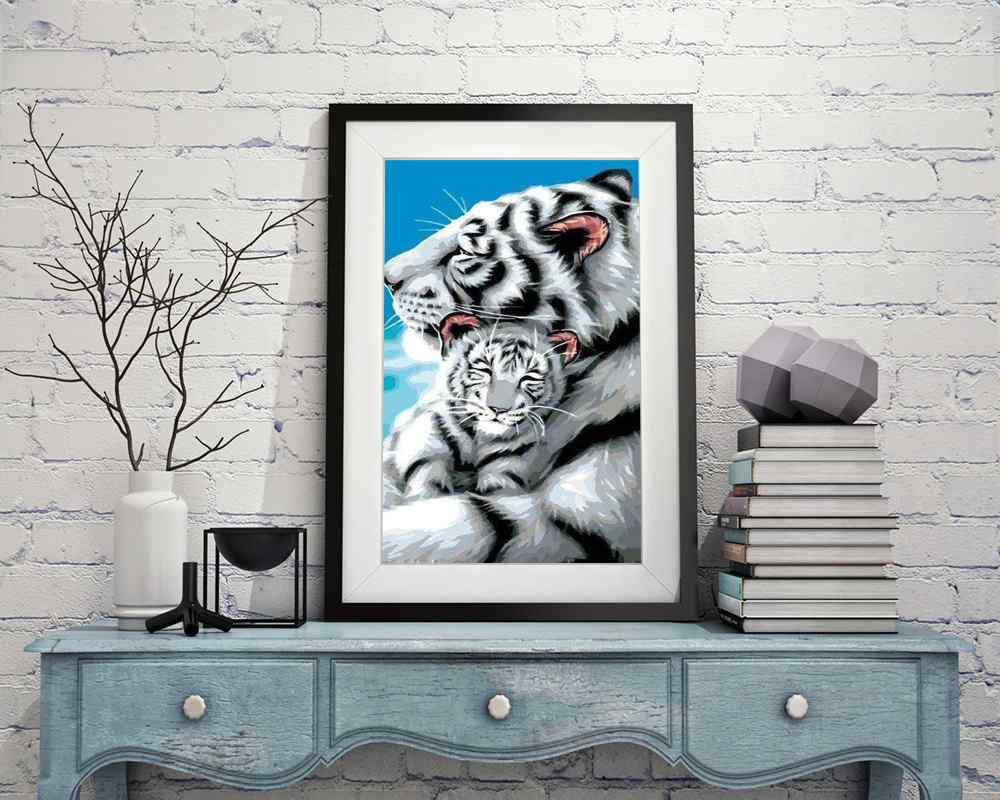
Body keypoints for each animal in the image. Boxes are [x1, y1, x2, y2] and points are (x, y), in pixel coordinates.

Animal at [384, 312, 581, 510]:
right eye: (485, 369)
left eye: (529, 377)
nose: (499, 409)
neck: (476, 440)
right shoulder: (426, 447)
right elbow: (429, 483)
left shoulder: (506, 468)